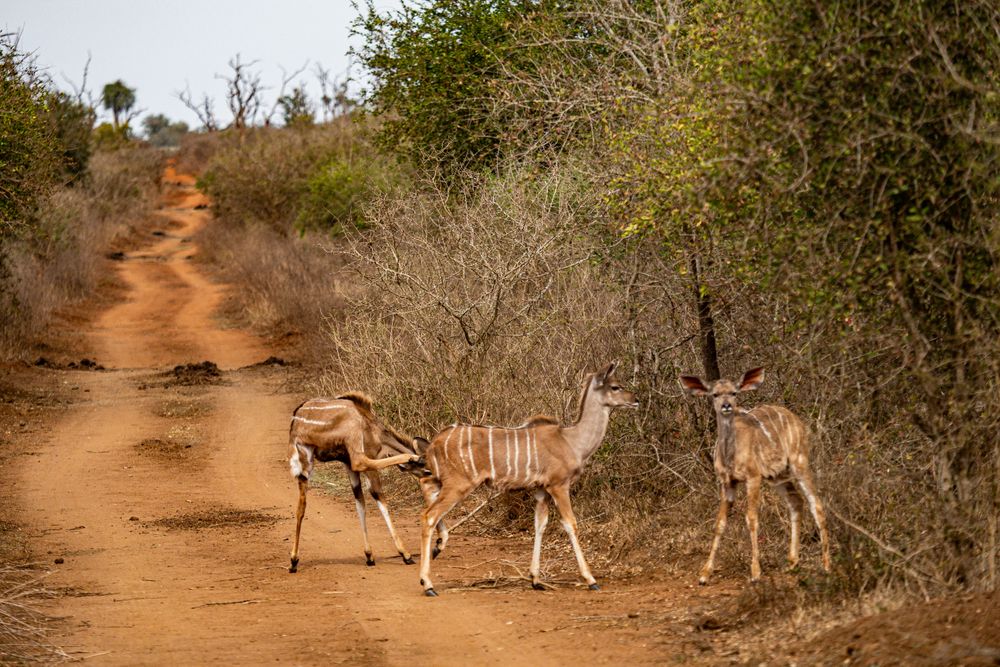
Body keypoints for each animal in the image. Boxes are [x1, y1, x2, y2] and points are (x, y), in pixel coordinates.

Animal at [287, 392, 428, 573]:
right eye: (428, 471)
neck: (378, 433)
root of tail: (297, 419)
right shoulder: (366, 457)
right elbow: (378, 496)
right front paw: (405, 554)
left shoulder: (347, 464)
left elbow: (359, 502)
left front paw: (369, 555)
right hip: (353, 442)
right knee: (360, 463)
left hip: (306, 461)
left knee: (301, 507)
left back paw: (293, 561)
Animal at [416, 362, 638, 596]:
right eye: (615, 386)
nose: (636, 399)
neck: (571, 441)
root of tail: (435, 443)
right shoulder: (559, 486)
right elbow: (571, 524)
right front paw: (590, 579)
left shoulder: (541, 490)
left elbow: (540, 525)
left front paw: (535, 579)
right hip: (460, 484)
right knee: (428, 516)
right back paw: (428, 583)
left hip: (443, 479)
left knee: (425, 486)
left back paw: (439, 546)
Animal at [679, 367, 831, 584]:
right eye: (714, 394)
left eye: (734, 392)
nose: (726, 406)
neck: (731, 455)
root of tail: (798, 421)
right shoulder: (727, 482)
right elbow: (719, 523)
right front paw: (704, 574)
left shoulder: (753, 476)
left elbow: (751, 519)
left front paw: (755, 572)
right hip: (777, 475)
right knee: (796, 501)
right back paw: (792, 562)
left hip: (799, 462)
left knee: (816, 503)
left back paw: (826, 565)